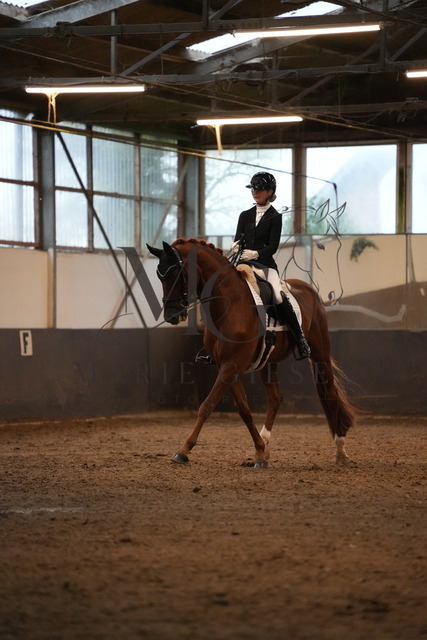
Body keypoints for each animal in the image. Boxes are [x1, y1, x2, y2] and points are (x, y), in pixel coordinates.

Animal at [147, 237, 356, 468]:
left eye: (176, 273)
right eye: (160, 275)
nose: (172, 316)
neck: (229, 304)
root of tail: (308, 288)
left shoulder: (231, 366)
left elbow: (206, 406)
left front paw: (183, 450)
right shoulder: (226, 366)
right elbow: (244, 410)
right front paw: (260, 452)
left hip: (319, 352)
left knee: (329, 392)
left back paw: (341, 450)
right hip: (267, 362)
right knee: (275, 397)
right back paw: (266, 442)